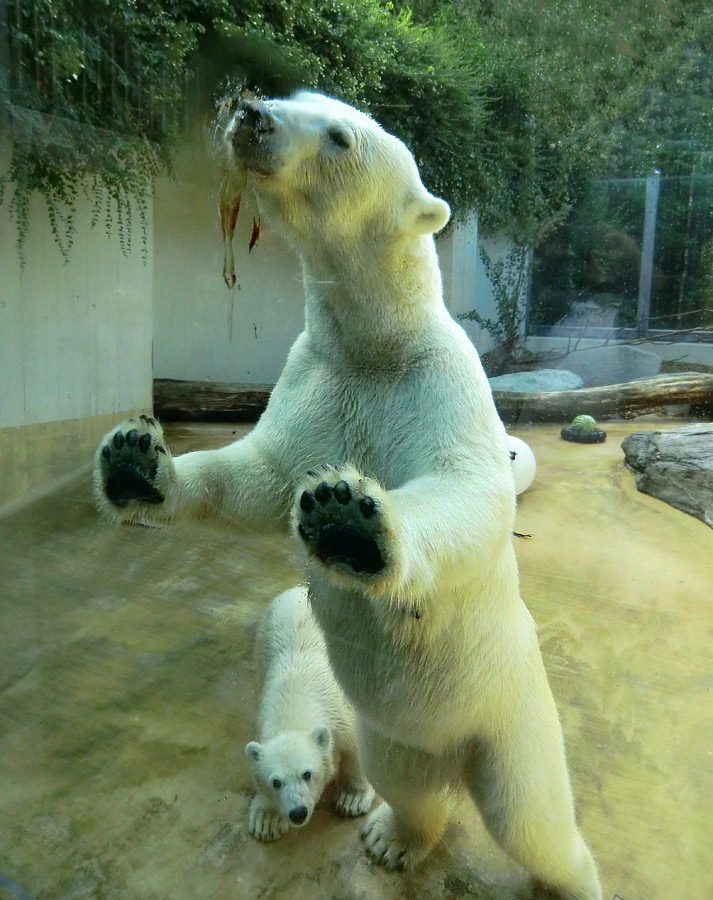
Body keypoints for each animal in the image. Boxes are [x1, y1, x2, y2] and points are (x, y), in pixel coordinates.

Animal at [94, 93, 600, 900]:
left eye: (337, 133)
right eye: (291, 97)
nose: (250, 113)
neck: (374, 344)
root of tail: (453, 751)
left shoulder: (440, 379)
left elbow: (469, 489)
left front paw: (348, 518)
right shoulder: (318, 378)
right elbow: (259, 475)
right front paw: (136, 464)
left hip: (507, 714)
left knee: (533, 820)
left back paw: (567, 873)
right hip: (388, 728)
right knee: (409, 781)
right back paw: (392, 835)